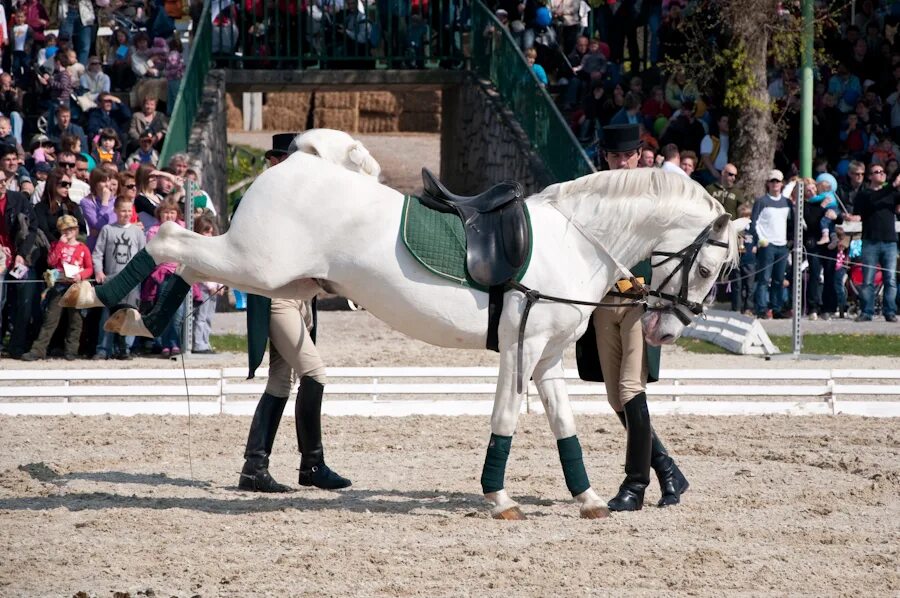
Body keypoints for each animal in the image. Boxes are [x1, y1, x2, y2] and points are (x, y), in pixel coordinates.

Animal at [63, 130, 740, 520]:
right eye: (710, 266)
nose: (667, 333)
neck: (576, 239)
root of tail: (293, 164)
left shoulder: (547, 357)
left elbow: (563, 422)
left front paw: (591, 498)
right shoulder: (520, 348)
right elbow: (508, 415)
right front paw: (498, 497)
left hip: (274, 277)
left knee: (182, 255)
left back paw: (137, 314)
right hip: (254, 263)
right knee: (171, 238)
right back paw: (106, 297)